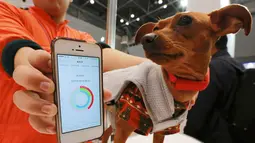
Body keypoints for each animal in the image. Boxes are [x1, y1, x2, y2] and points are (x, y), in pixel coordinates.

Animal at [100, 3, 252, 143]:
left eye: (185, 19)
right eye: (156, 28)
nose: (146, 38)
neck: (178, 83)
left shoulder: (163, 129)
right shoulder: (124, 125)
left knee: (106, 134)